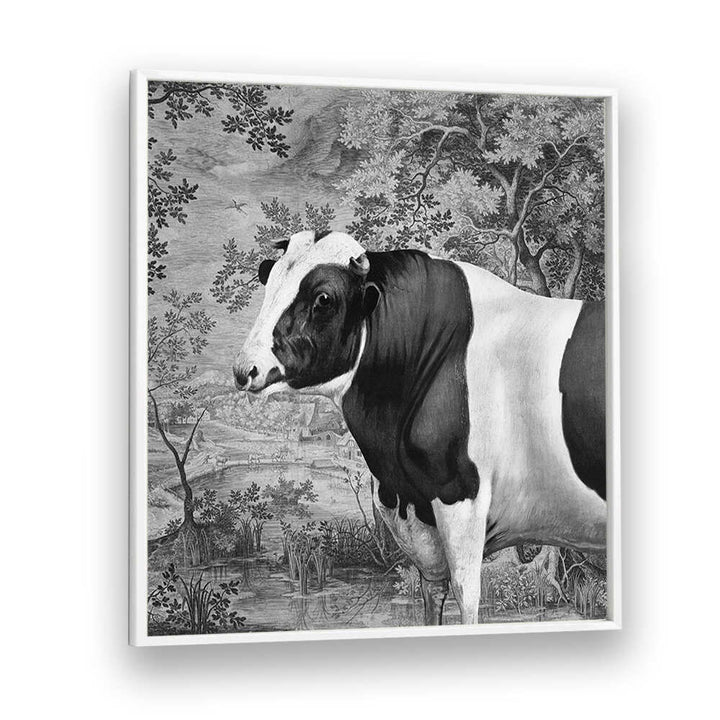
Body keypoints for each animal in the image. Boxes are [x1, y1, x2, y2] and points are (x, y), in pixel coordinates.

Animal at [233, 230, 607, 625]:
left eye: (323, 299)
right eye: (269, 279)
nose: (245, 368)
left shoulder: (462, 497)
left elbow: (467, 597)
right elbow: (431, 594)